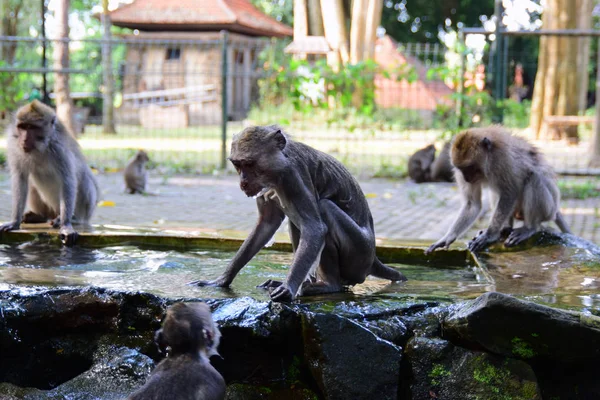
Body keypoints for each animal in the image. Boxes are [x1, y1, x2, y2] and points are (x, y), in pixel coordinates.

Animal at [0, 100, 98, 245]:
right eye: (22, 127)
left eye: (32, 127)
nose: (24, 140)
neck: (40, 147)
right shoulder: (14, 145)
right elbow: (20, 178)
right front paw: (14, 222)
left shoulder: (59, 149)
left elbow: (68, 180)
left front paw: (66, 225)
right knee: (32, 184)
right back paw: (40, 216)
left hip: (85, 211)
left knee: (84, 179)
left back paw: (73, 218)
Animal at [192, 126, 408, 302]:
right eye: (237, 165)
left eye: (250, 164)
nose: (243, 182)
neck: (279, 165)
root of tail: (373, 258)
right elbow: (266, 225)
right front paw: (223, 279)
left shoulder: (292, 176)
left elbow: (315, 228)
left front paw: (288, 288)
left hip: (358, 256)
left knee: (324, 208)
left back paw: (328, 284)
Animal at [426, 126, 572, 255]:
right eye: (461, 169)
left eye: (470, 167)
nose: (466, 178)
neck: (489, 159)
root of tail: (555, 208)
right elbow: (472, 204)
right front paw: (448, 237)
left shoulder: (502, 159)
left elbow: (509, 192)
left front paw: (490, 235)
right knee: (497, 191)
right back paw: (505, 228)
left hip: (549, 209)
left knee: (534, 177)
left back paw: (529, 228)